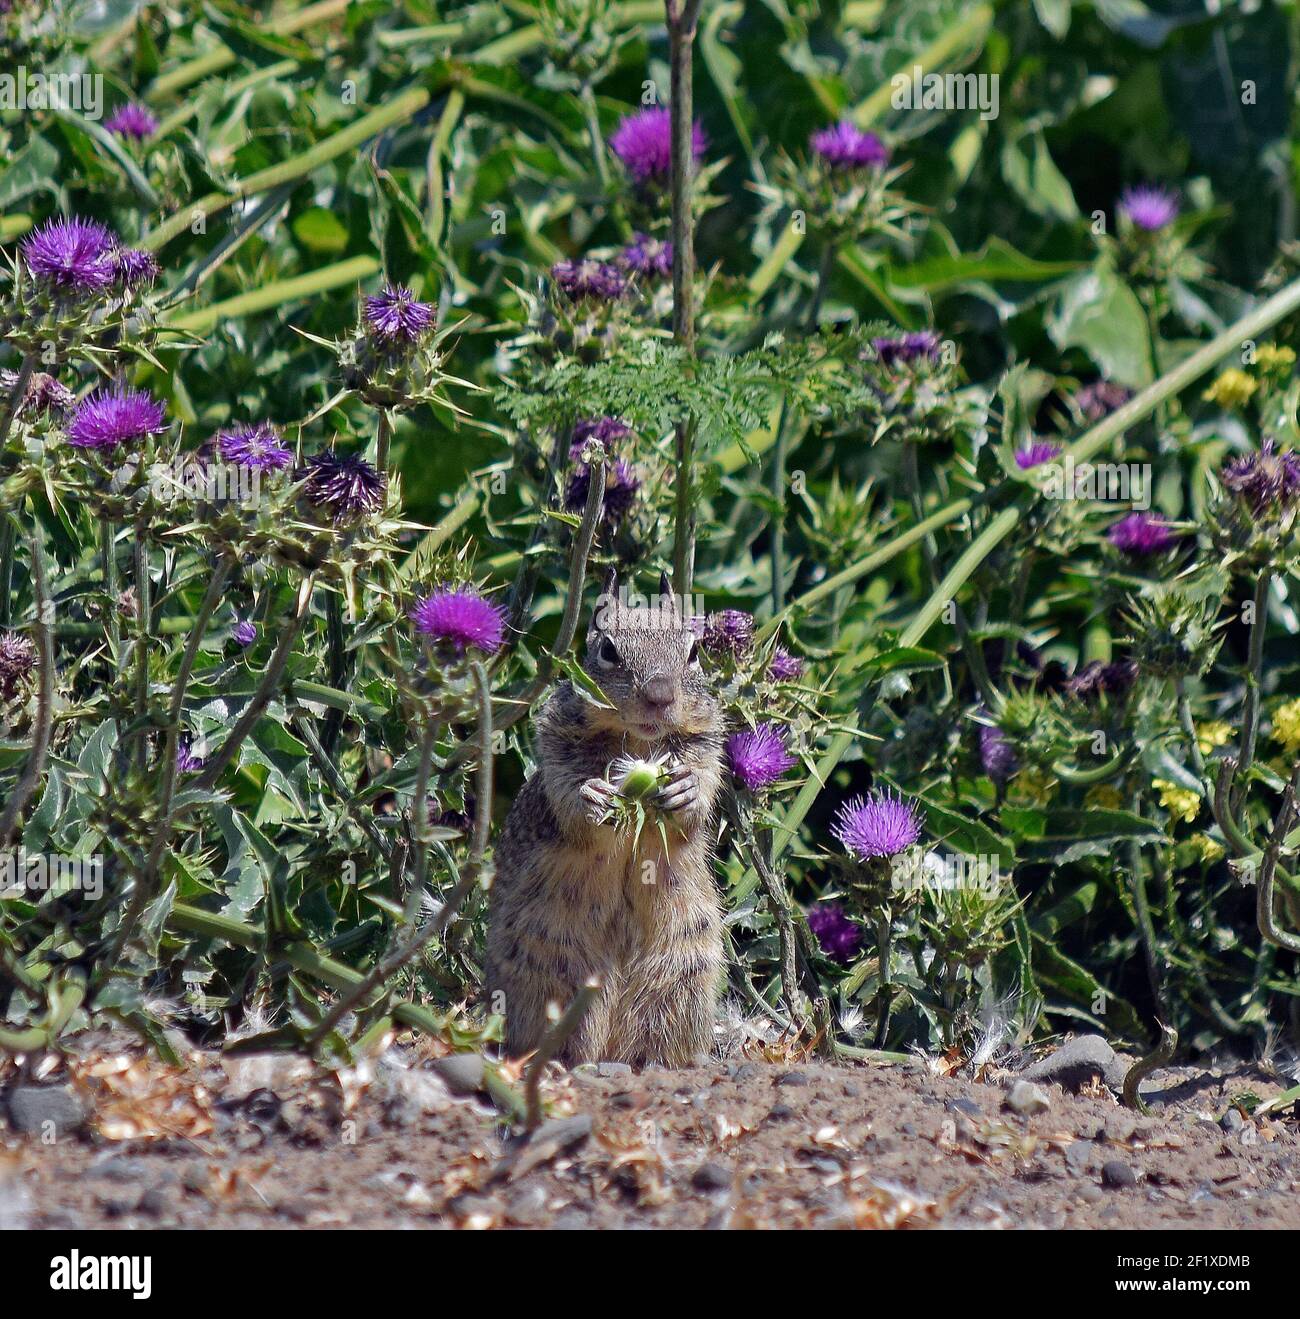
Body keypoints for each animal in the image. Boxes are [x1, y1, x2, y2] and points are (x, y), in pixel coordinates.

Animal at [487, 572, 727, 1065]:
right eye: (608, 651)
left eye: (694, 651)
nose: (660, 696)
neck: (638, 742)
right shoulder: (556, 743)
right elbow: (566, 796)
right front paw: (592, 796)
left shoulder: (708, 742)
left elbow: (704, 783)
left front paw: (686, 790)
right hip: (549, 969)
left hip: (683, 975)